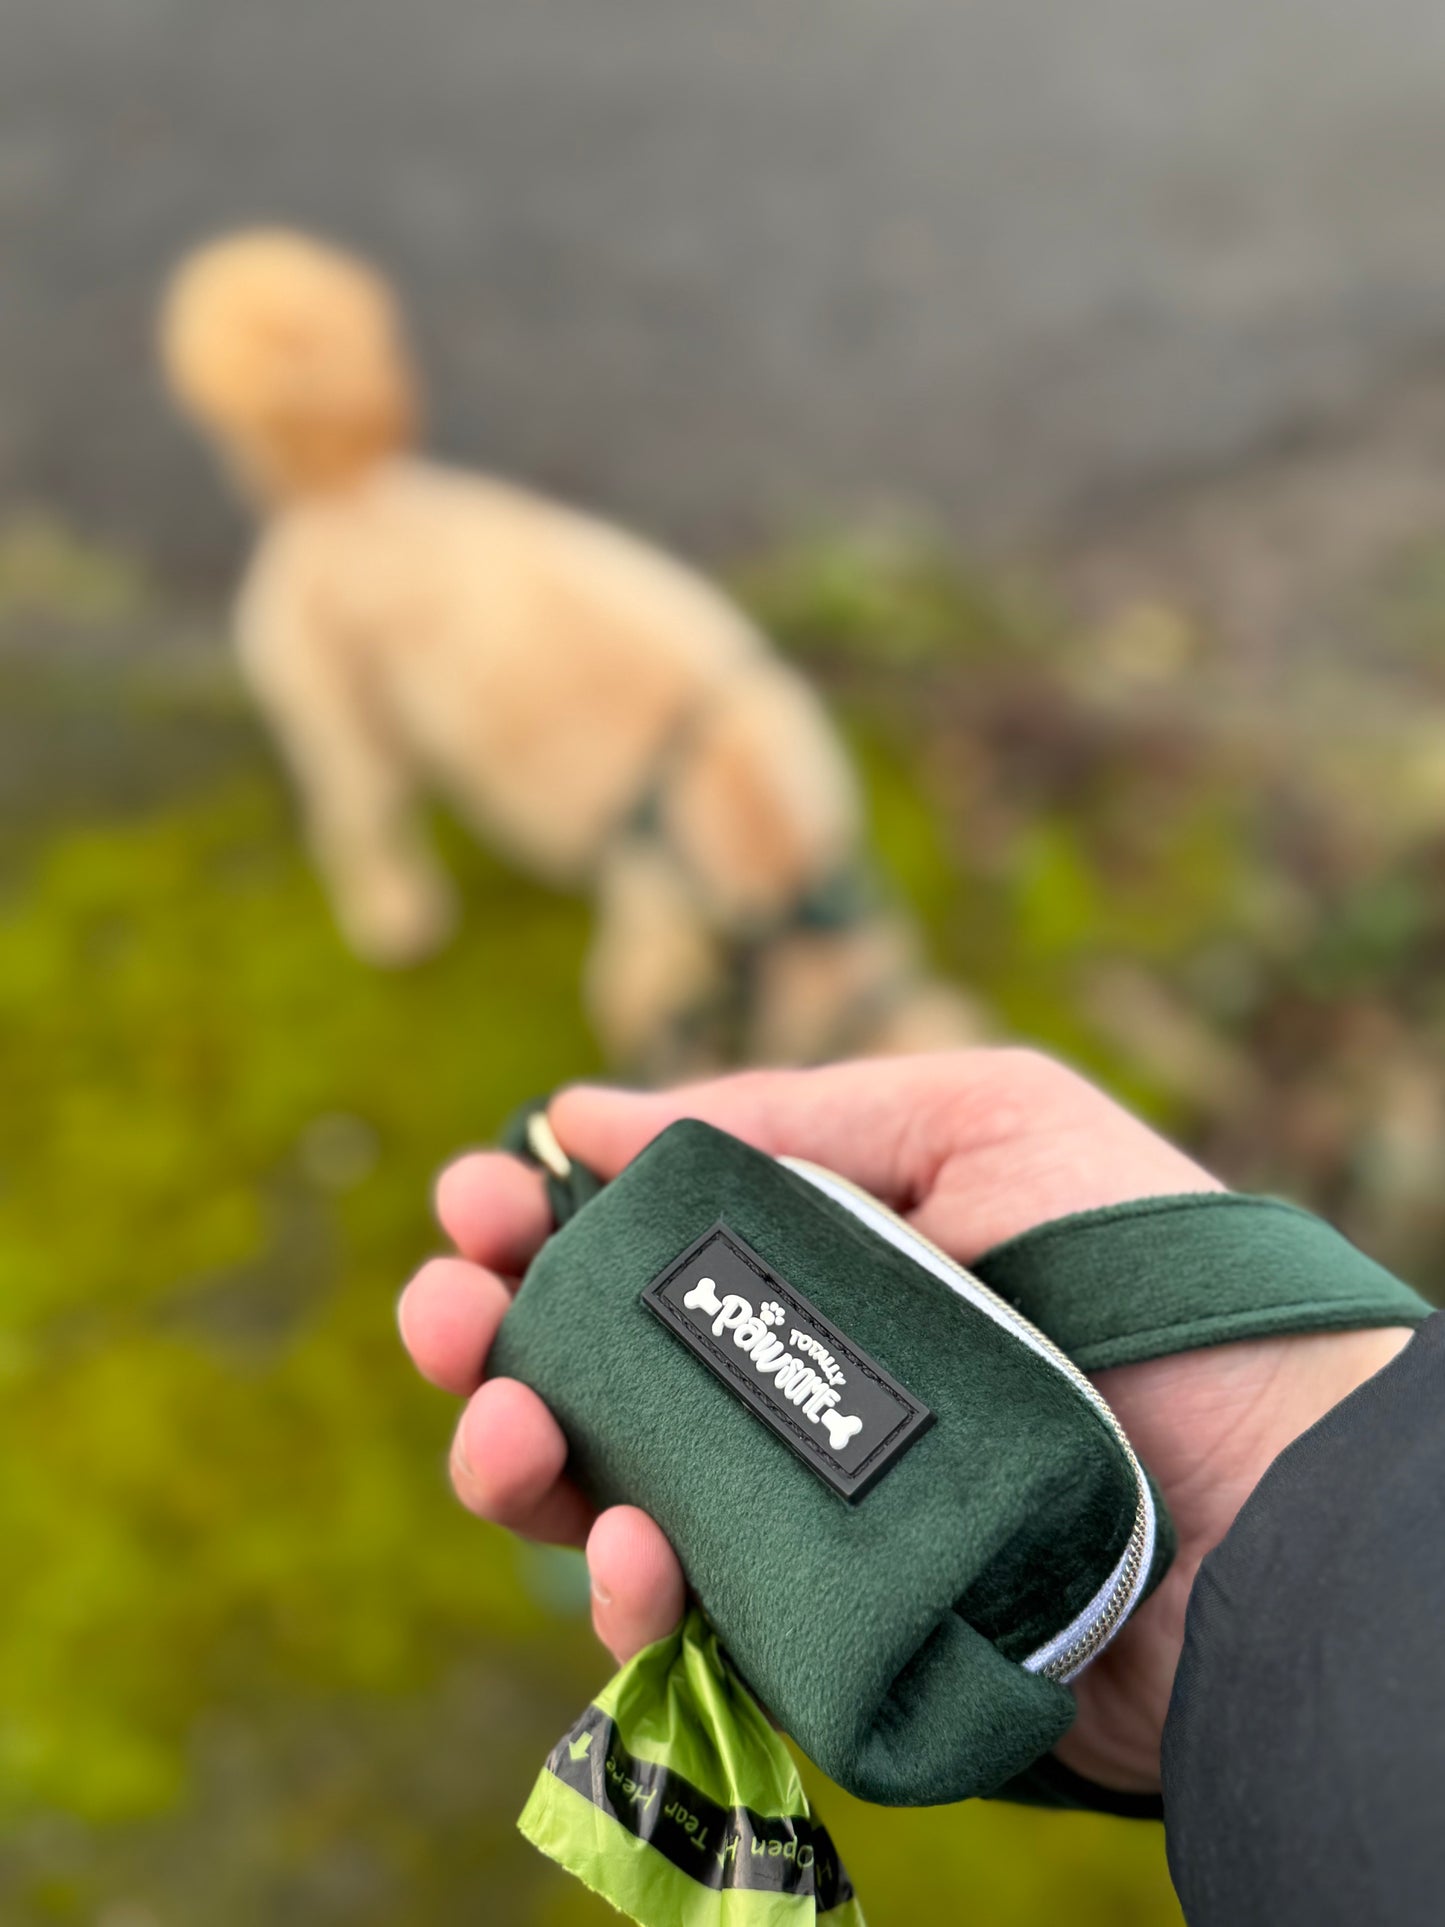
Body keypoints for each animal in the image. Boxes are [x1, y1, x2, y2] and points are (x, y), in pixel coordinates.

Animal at [163, 233, 986, 1079]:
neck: (784, 896)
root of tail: (335, 491)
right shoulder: (650, 950)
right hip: (351, 724)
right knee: (352, 821)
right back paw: (393, 912)